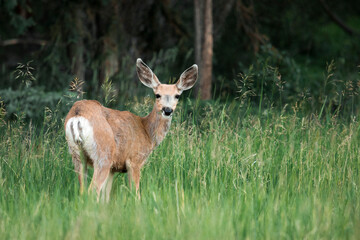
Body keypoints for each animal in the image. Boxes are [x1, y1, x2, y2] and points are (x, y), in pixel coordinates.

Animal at [65, 59, 200, 202]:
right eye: (157, 95)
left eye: (177, 96)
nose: (167, 110)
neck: (146, 131)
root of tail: (77, 115)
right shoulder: (134, 160)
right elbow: (135, 193)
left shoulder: (114, 168)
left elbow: (106, 197)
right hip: (103, 154)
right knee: (92, 190)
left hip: (77, 155)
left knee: (82, 190)